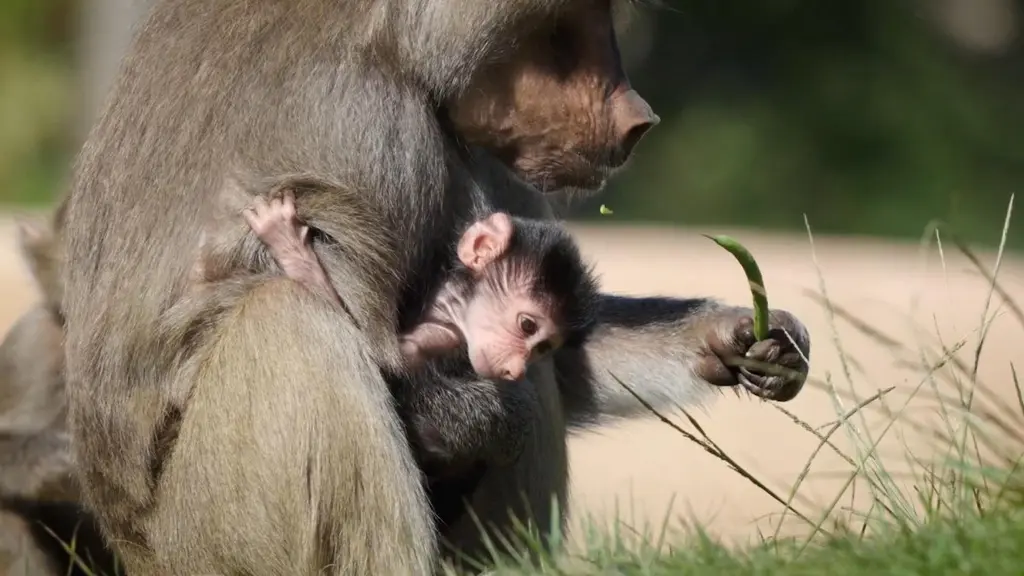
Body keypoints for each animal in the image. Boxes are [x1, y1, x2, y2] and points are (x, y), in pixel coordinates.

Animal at [62, 1, 813, 575]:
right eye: (562, 29)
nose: (638, 119)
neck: (391, 40)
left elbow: (563, 362)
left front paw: (736, 338)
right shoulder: (369, 130)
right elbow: (384, 352)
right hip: (210, 538)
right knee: (291, 324)